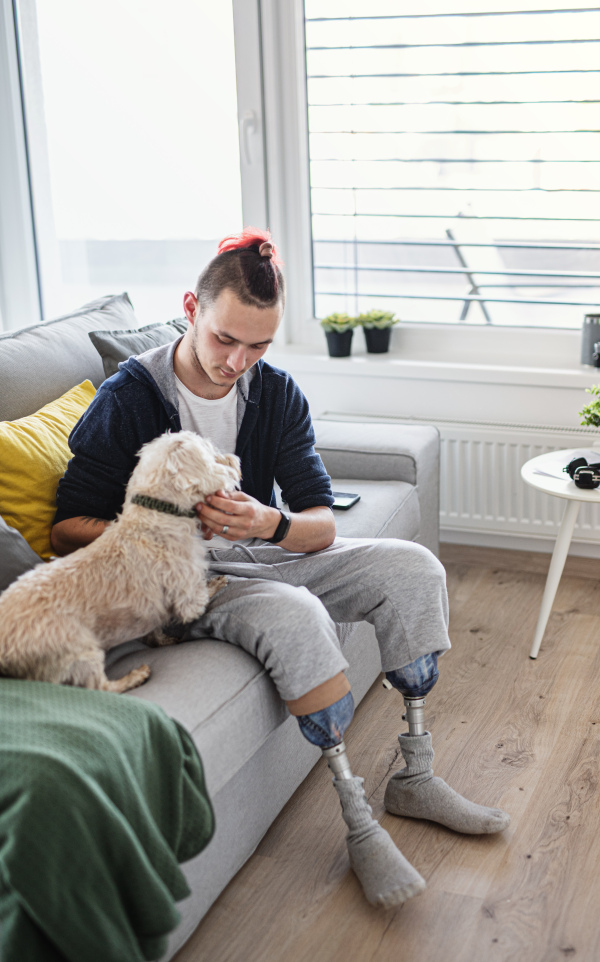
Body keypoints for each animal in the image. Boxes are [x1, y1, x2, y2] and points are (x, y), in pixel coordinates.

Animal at [0, 434, 239, 688]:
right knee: (100, 687)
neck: (156, 515)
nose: (234, 459)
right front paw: (216, 583)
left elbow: (155, 628)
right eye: (212, 452)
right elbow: (201, 597)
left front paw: (161, 640)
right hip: (78, 649)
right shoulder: (188, 594)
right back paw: (134, 676)